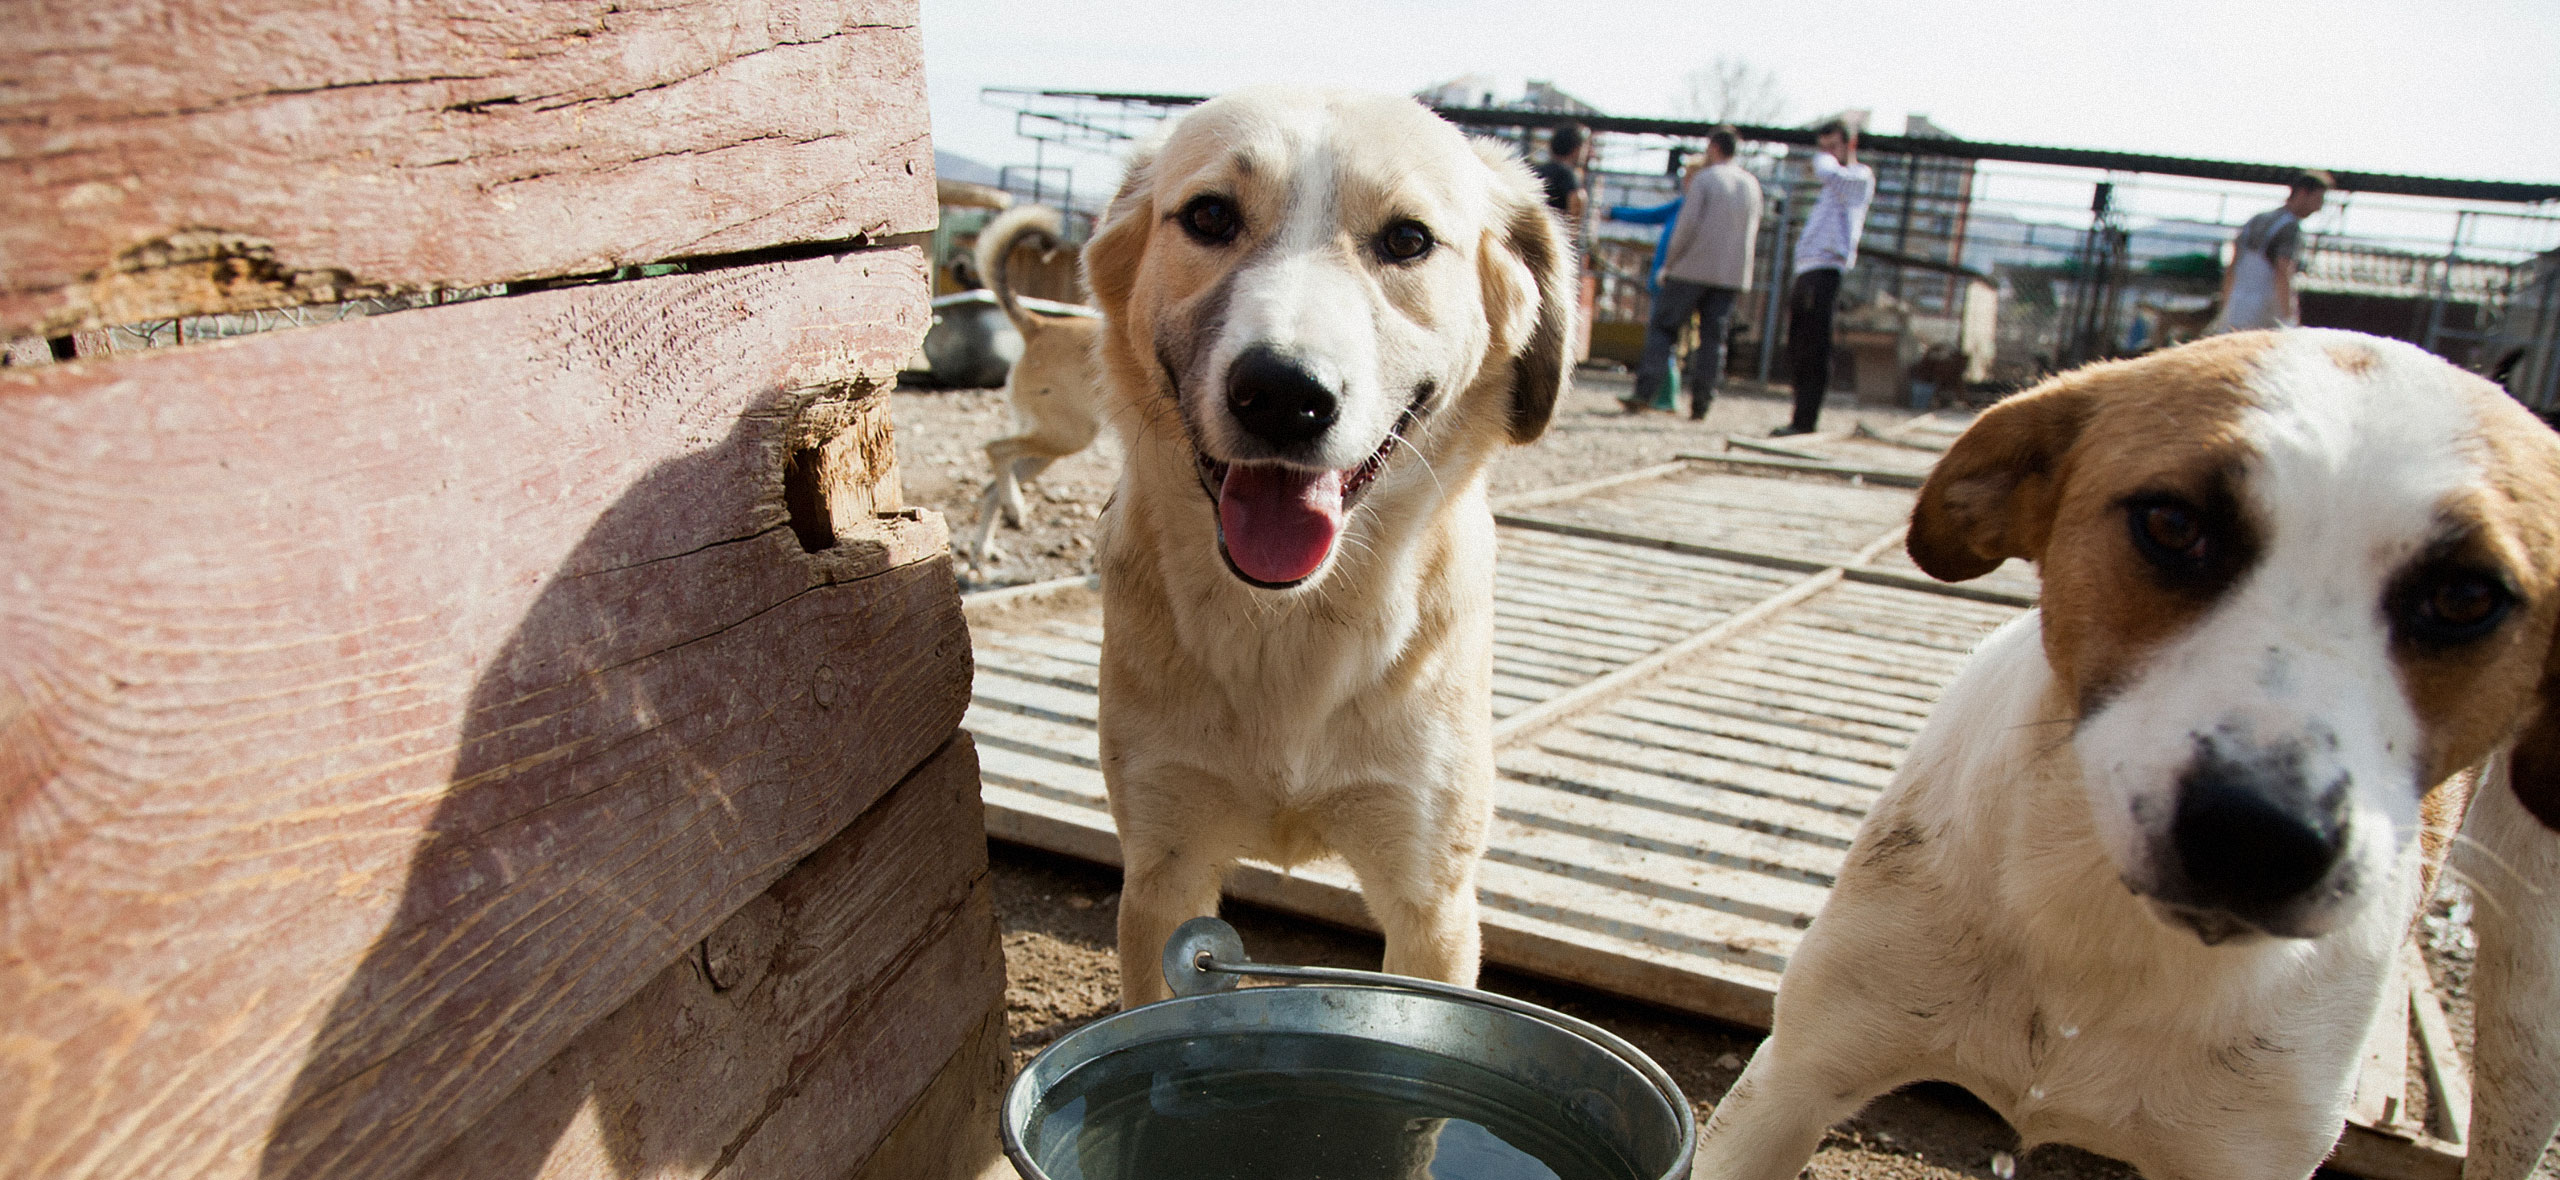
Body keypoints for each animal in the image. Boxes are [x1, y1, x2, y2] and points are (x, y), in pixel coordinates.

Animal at [957, 204, 1105, 573]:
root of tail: (1041, 325)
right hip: (1065, 436)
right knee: (995, 449)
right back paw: (1016, 507)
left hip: (1045, 449)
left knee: (991, 486)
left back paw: (983, 549)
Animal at [1070, 85, 1566, 1003]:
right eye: (1209, 215)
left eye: (1407, 240)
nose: (1281, 393)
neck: (1289, 628)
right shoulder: (1161, 871)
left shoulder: (1432, 903)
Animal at [1699, 327, 2560, 1177]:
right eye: (2172, 524)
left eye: (2467, 598)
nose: (2257, 837)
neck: (2100, 926)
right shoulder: (1793, 1082)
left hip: (2531, 1011)